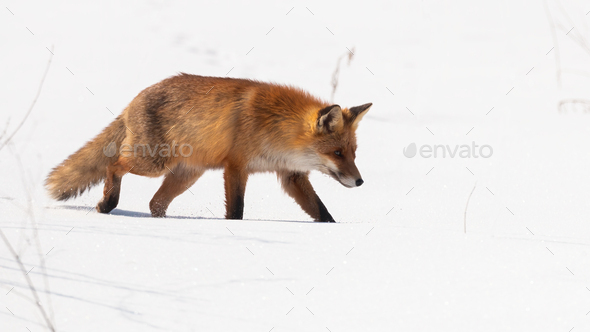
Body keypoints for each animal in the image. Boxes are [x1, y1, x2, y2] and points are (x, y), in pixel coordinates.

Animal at [46, 74, 372, 222]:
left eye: (354, 153)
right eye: (337, 153)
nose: (359, 181)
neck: (278, 129)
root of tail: (136, 97)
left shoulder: (291, 174)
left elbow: (321, 210)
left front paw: (332, 230)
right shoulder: (236, 166)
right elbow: (237, 210)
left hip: (186, 174)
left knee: (155, 203)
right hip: (154, 163)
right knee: (113, 165)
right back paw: (107, 204)